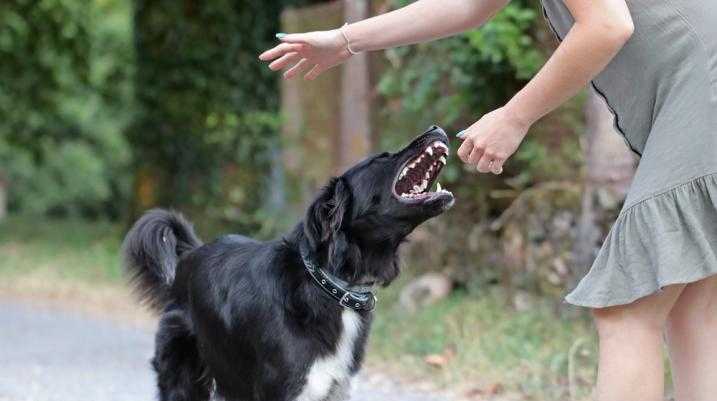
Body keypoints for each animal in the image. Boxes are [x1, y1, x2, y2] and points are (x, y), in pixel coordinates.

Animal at [123, 126, 454, 400]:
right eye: (381, 158)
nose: (436, 128)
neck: (329, 285)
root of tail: (191, 254)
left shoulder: (336, 389)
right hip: (186, 377)